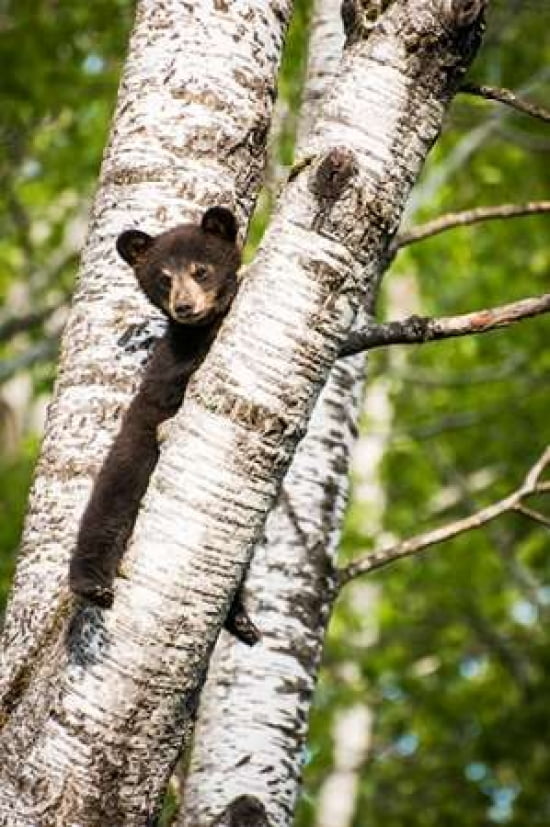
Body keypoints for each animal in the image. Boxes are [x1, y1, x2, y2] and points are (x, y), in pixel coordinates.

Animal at [69, 206, 260, 646]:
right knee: (106, 509)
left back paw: (242, 620)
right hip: (132, 451)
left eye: (200, 270)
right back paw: (91, 584)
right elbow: (179, 377)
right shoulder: (172, 362)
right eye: (164, 278)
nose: (184, 306)